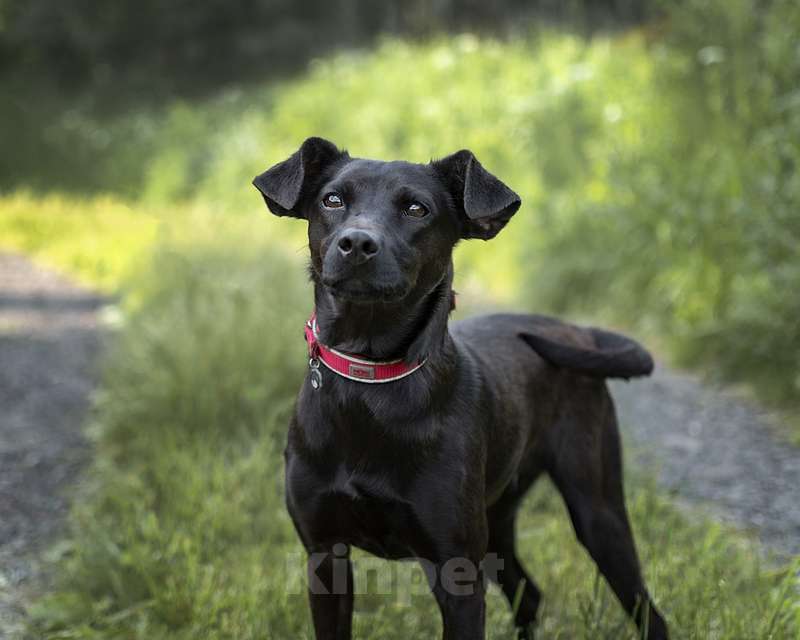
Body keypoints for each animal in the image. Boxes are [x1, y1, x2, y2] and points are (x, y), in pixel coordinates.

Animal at [253, 138, 664, 636]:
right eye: (332, 200)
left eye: (417, 209)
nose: (357, 244)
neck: (371, 383)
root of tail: (577, 331)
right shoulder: (324, 556)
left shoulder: (458, 576)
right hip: (498, 523)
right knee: (530, 595)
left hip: (598, 512)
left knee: (649, 614)